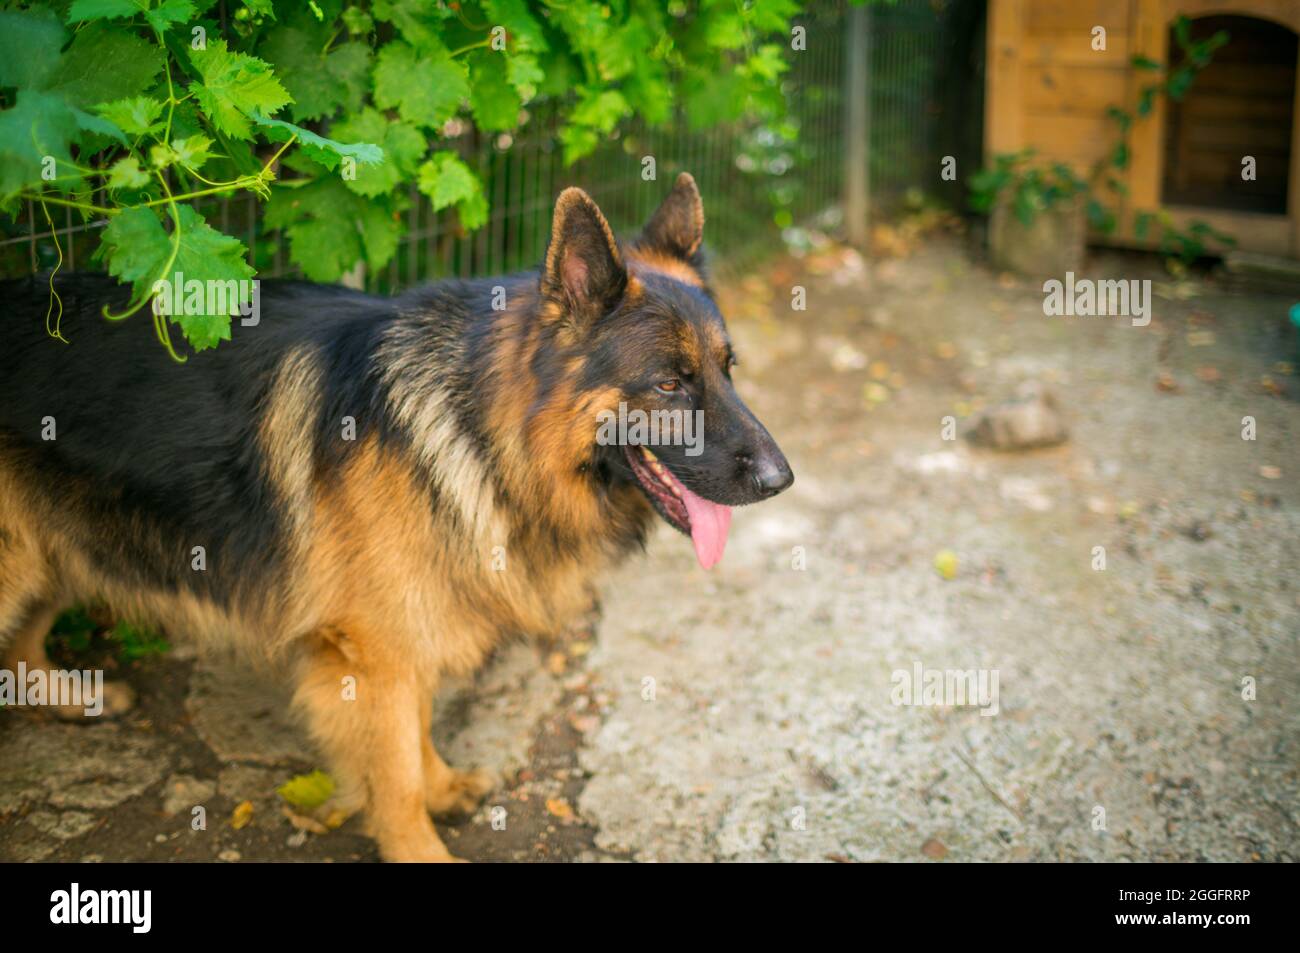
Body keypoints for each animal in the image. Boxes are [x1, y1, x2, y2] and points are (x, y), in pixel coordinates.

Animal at [0, 172, 790, 863]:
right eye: (669, 384)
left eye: (728, 370)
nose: (781, 480)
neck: (482, 428)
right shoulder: (372, 652)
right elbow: (396, 774)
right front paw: (422, 844)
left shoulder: (411, 625)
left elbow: (418, 730)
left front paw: (442, 784)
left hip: (56, 551)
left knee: (20, 650)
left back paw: (72, 699)